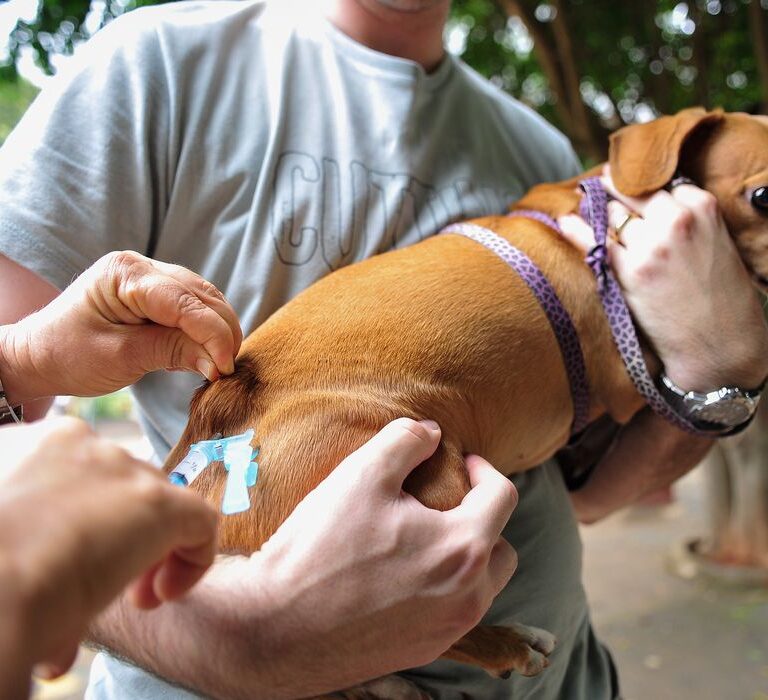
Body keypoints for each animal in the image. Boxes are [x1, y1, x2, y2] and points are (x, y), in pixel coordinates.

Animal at [162, 108, 768, 688]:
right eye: (763, 197)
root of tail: (220, 415)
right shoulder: (630, 378)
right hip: (435, 482)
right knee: (410, 633)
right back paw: (505, 645)